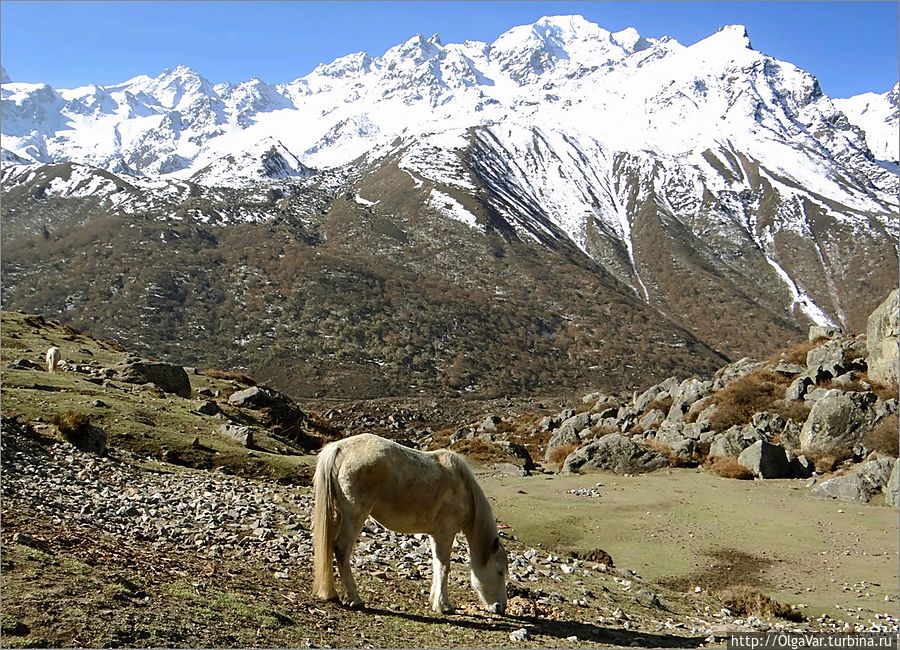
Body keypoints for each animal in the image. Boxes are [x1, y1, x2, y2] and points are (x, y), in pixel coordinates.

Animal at [312, 432, 506, 612]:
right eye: (500, 571)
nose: (501, 607)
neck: (463, 488)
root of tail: (339, 449)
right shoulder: (446, 532)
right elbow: (444, 567)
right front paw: (444, 605)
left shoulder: (436, 534)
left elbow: (437, 564)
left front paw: (435, 601)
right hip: (354, 516)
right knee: (342, 549)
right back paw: (355, 599)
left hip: (337, 514)